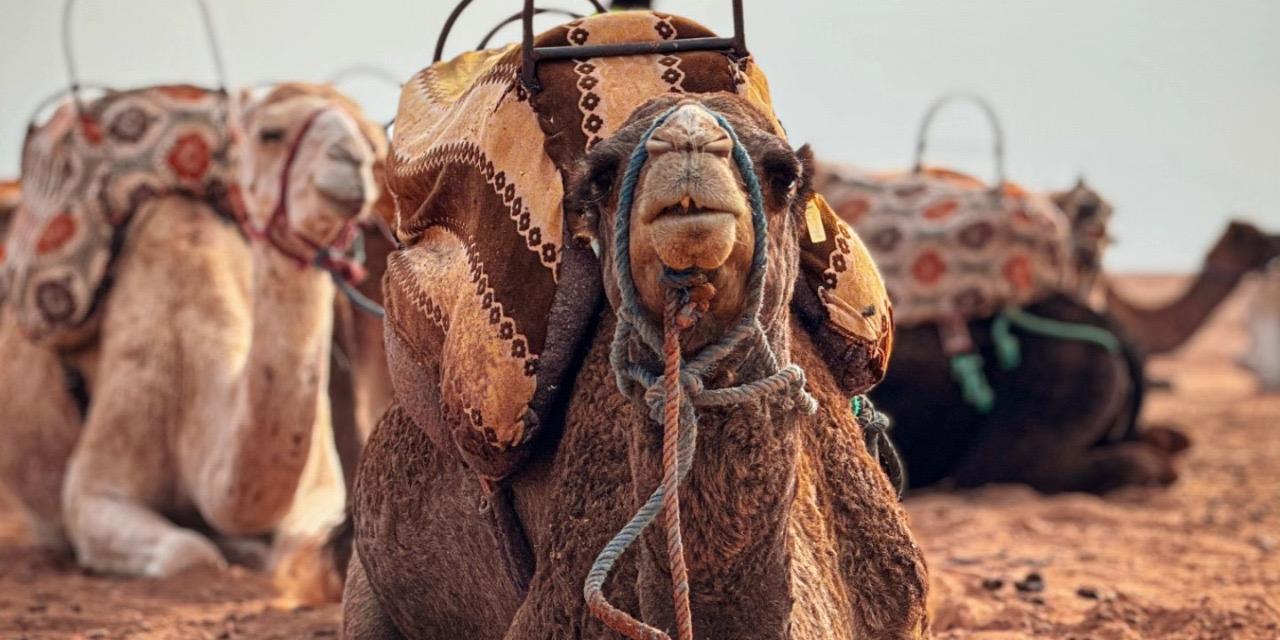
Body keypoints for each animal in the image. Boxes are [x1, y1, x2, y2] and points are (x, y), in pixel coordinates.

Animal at [0, 84, 386, 593]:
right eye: (270, 133)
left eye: (372, 142)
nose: (351, 162)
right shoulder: (95, 488)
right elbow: (189, 553)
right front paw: (227, 547)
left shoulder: (319, 491)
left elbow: (294, 552)